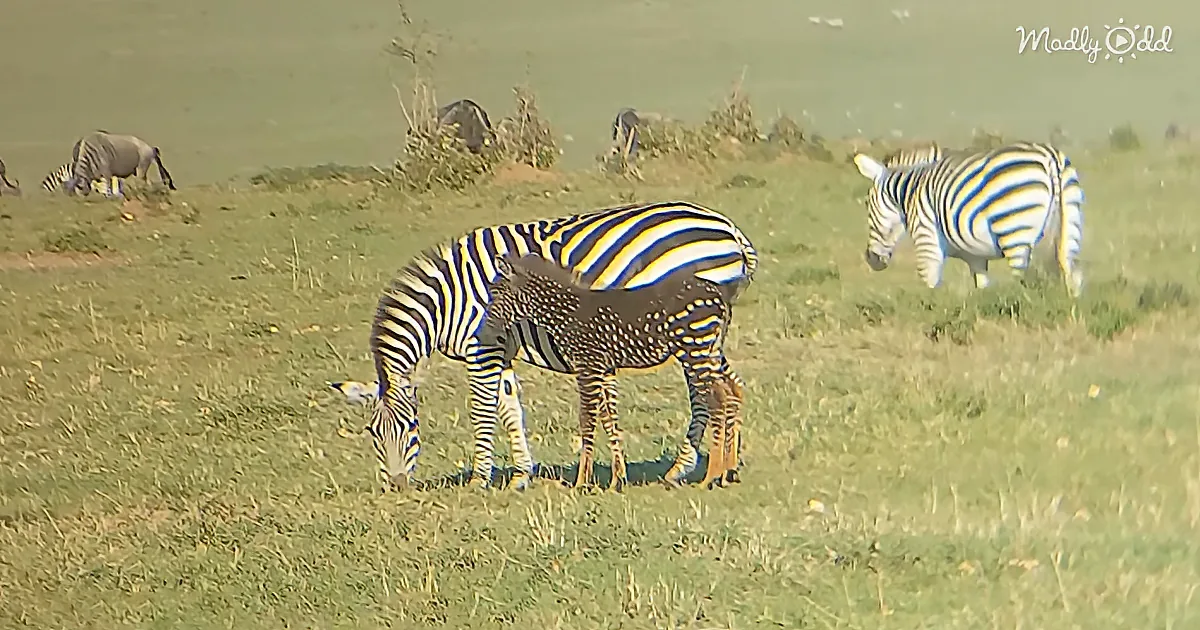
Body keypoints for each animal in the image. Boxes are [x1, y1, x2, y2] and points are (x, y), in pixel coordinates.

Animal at [477, 253, 744, 491]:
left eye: (496, 293)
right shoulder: (604, 370)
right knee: (729, 393)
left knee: (716, 401)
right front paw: (618, 479)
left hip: (695, 349)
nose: (483, 335)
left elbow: (587, 420)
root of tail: (719, 295)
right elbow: (609, 419)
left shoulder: (587, 367)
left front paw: (581, 482)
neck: (566, 313)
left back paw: (710, 476)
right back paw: (725, 472)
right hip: (710, 351)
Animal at [853, 141, 1084, 296]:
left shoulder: (926, 236)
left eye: (867, 205)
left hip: (1014, 230)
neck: (909, 191)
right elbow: (981, 286)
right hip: (1069, 225)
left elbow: (930, 282)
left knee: (1023, 279)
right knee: (1073, 274)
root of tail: (1051, 159)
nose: (870, 259)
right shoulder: (976, 255)